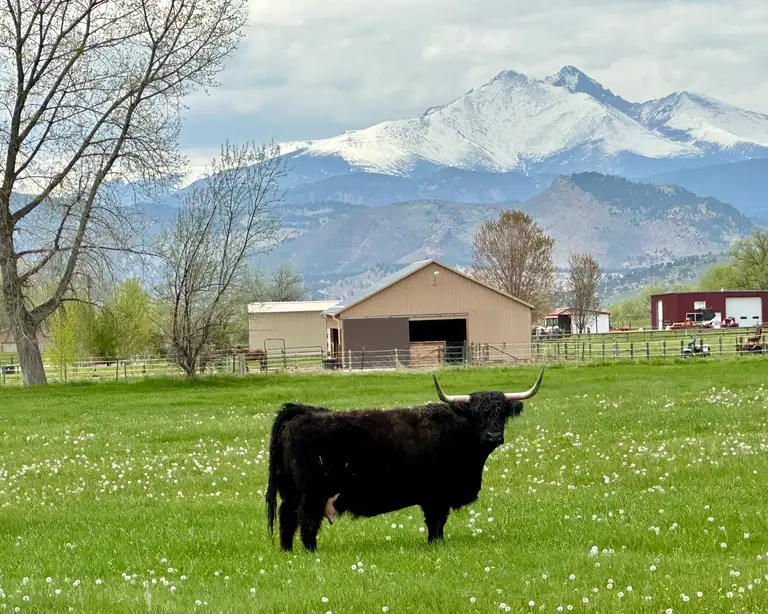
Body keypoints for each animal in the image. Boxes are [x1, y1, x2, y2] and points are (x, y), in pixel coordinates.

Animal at [265, 368, 544, 551]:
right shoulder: (436, 496)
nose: (493, 435)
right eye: (477, 414)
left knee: (286, 517)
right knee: (306, 520)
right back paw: (311, 550)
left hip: (290, 490)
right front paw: (435, 545)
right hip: (313, 493)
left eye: (502, 413)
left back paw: (287, 551)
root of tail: (302, 411)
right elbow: (435, 523)